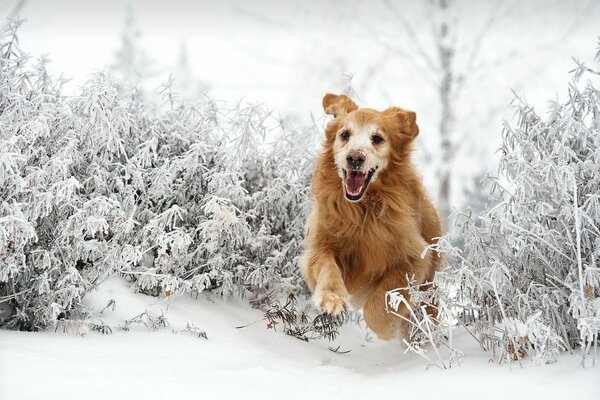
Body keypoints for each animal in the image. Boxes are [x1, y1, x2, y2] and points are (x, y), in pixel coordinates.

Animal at [300, 94, 440, 340]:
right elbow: (327, 267)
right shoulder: (320, 244)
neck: (363, 211)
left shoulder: (414, 257)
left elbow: (381, 302)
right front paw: (332, 298)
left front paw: (386, 328)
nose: (355, 158)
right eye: (345, 135)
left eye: (377, 138)